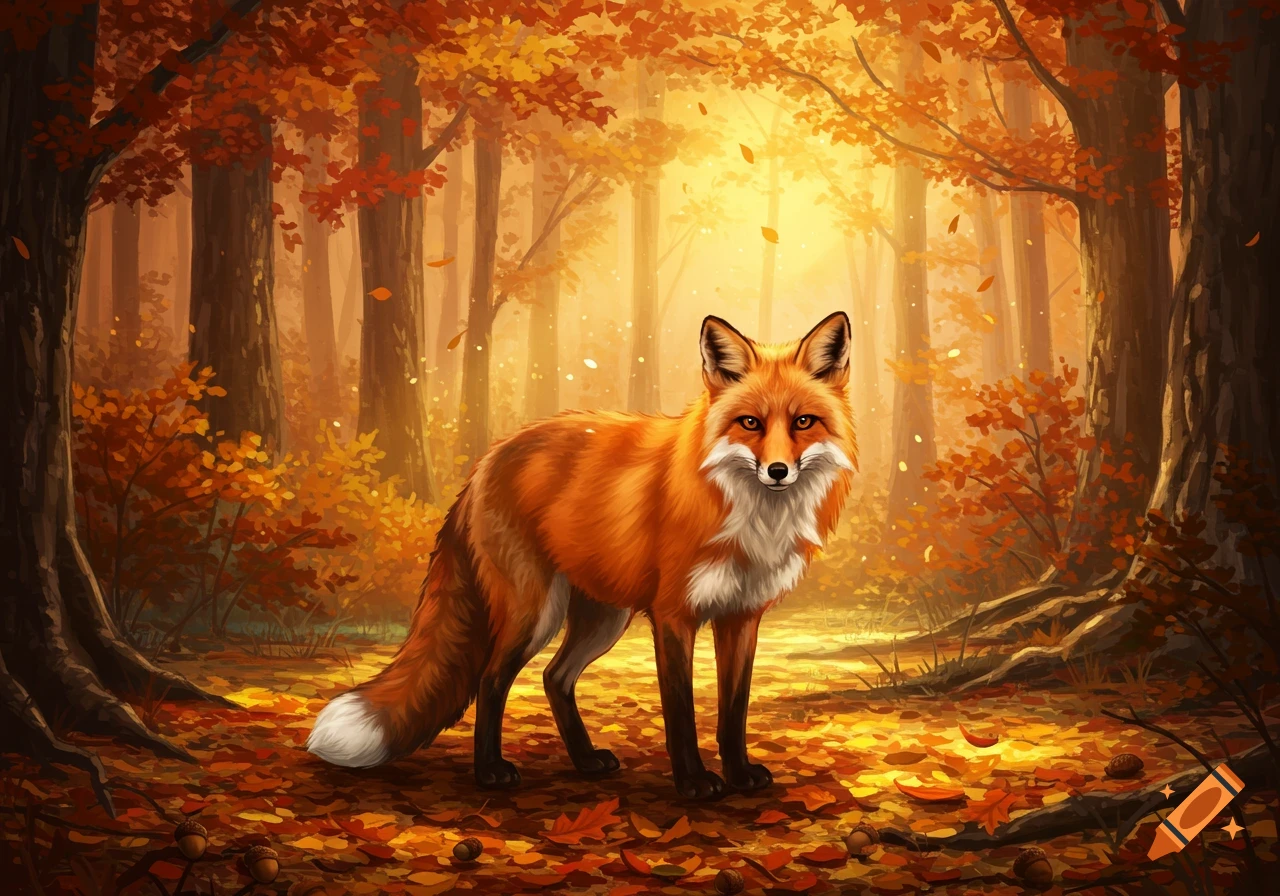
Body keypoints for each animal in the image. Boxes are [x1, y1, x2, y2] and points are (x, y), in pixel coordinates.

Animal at [307, 311, 856, 799]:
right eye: (750, 423)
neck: (750, 516)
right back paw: (490, 773)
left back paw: (585, 761)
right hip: (536, 612)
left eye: (803, 422)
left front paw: (739, 776)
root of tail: (487, 459)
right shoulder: (673, 615)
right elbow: (680, 711)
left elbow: (733, 711)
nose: (778, 471)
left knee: (554, 677)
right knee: (490, 680)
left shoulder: (741, 616)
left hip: (603, 617)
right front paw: (694, 785)